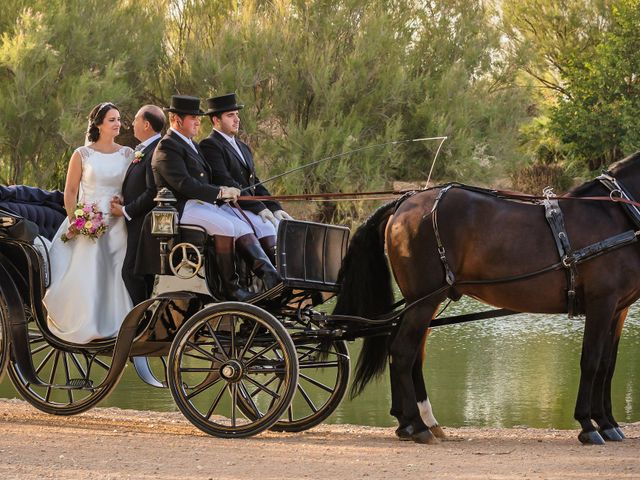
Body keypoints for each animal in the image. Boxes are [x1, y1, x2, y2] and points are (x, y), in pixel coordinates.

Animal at [332, 152, 640, 444]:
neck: (615, 212)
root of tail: (405, 201)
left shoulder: (618, 309)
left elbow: (607, 364)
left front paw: (608, 423)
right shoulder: (601, 303)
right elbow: (591, 361)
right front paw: (588, 426)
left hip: (420, 302)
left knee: (408, 352)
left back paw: (410, 422)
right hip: (424, 301)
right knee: (402, 351)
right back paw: (418, 426)